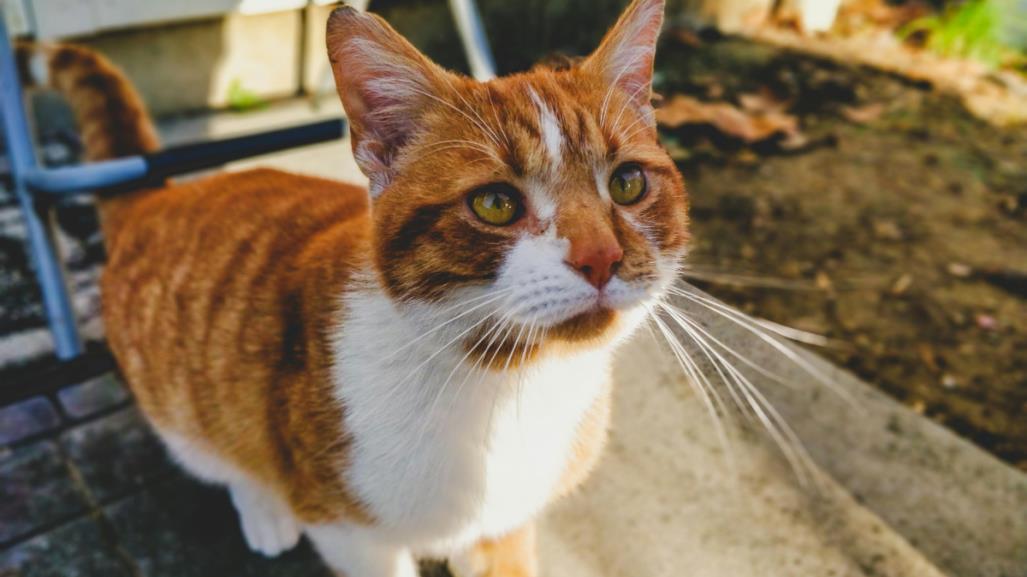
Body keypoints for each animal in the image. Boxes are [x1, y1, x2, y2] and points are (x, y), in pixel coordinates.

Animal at [20, 0, 690, 570]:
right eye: (496, 203)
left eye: (627, 184)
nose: (602, 256)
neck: (512, 386)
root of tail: (158, 196)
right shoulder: (346, 529)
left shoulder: (508, 524)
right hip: (184, 407)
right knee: (223, 456)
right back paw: (263, 511)